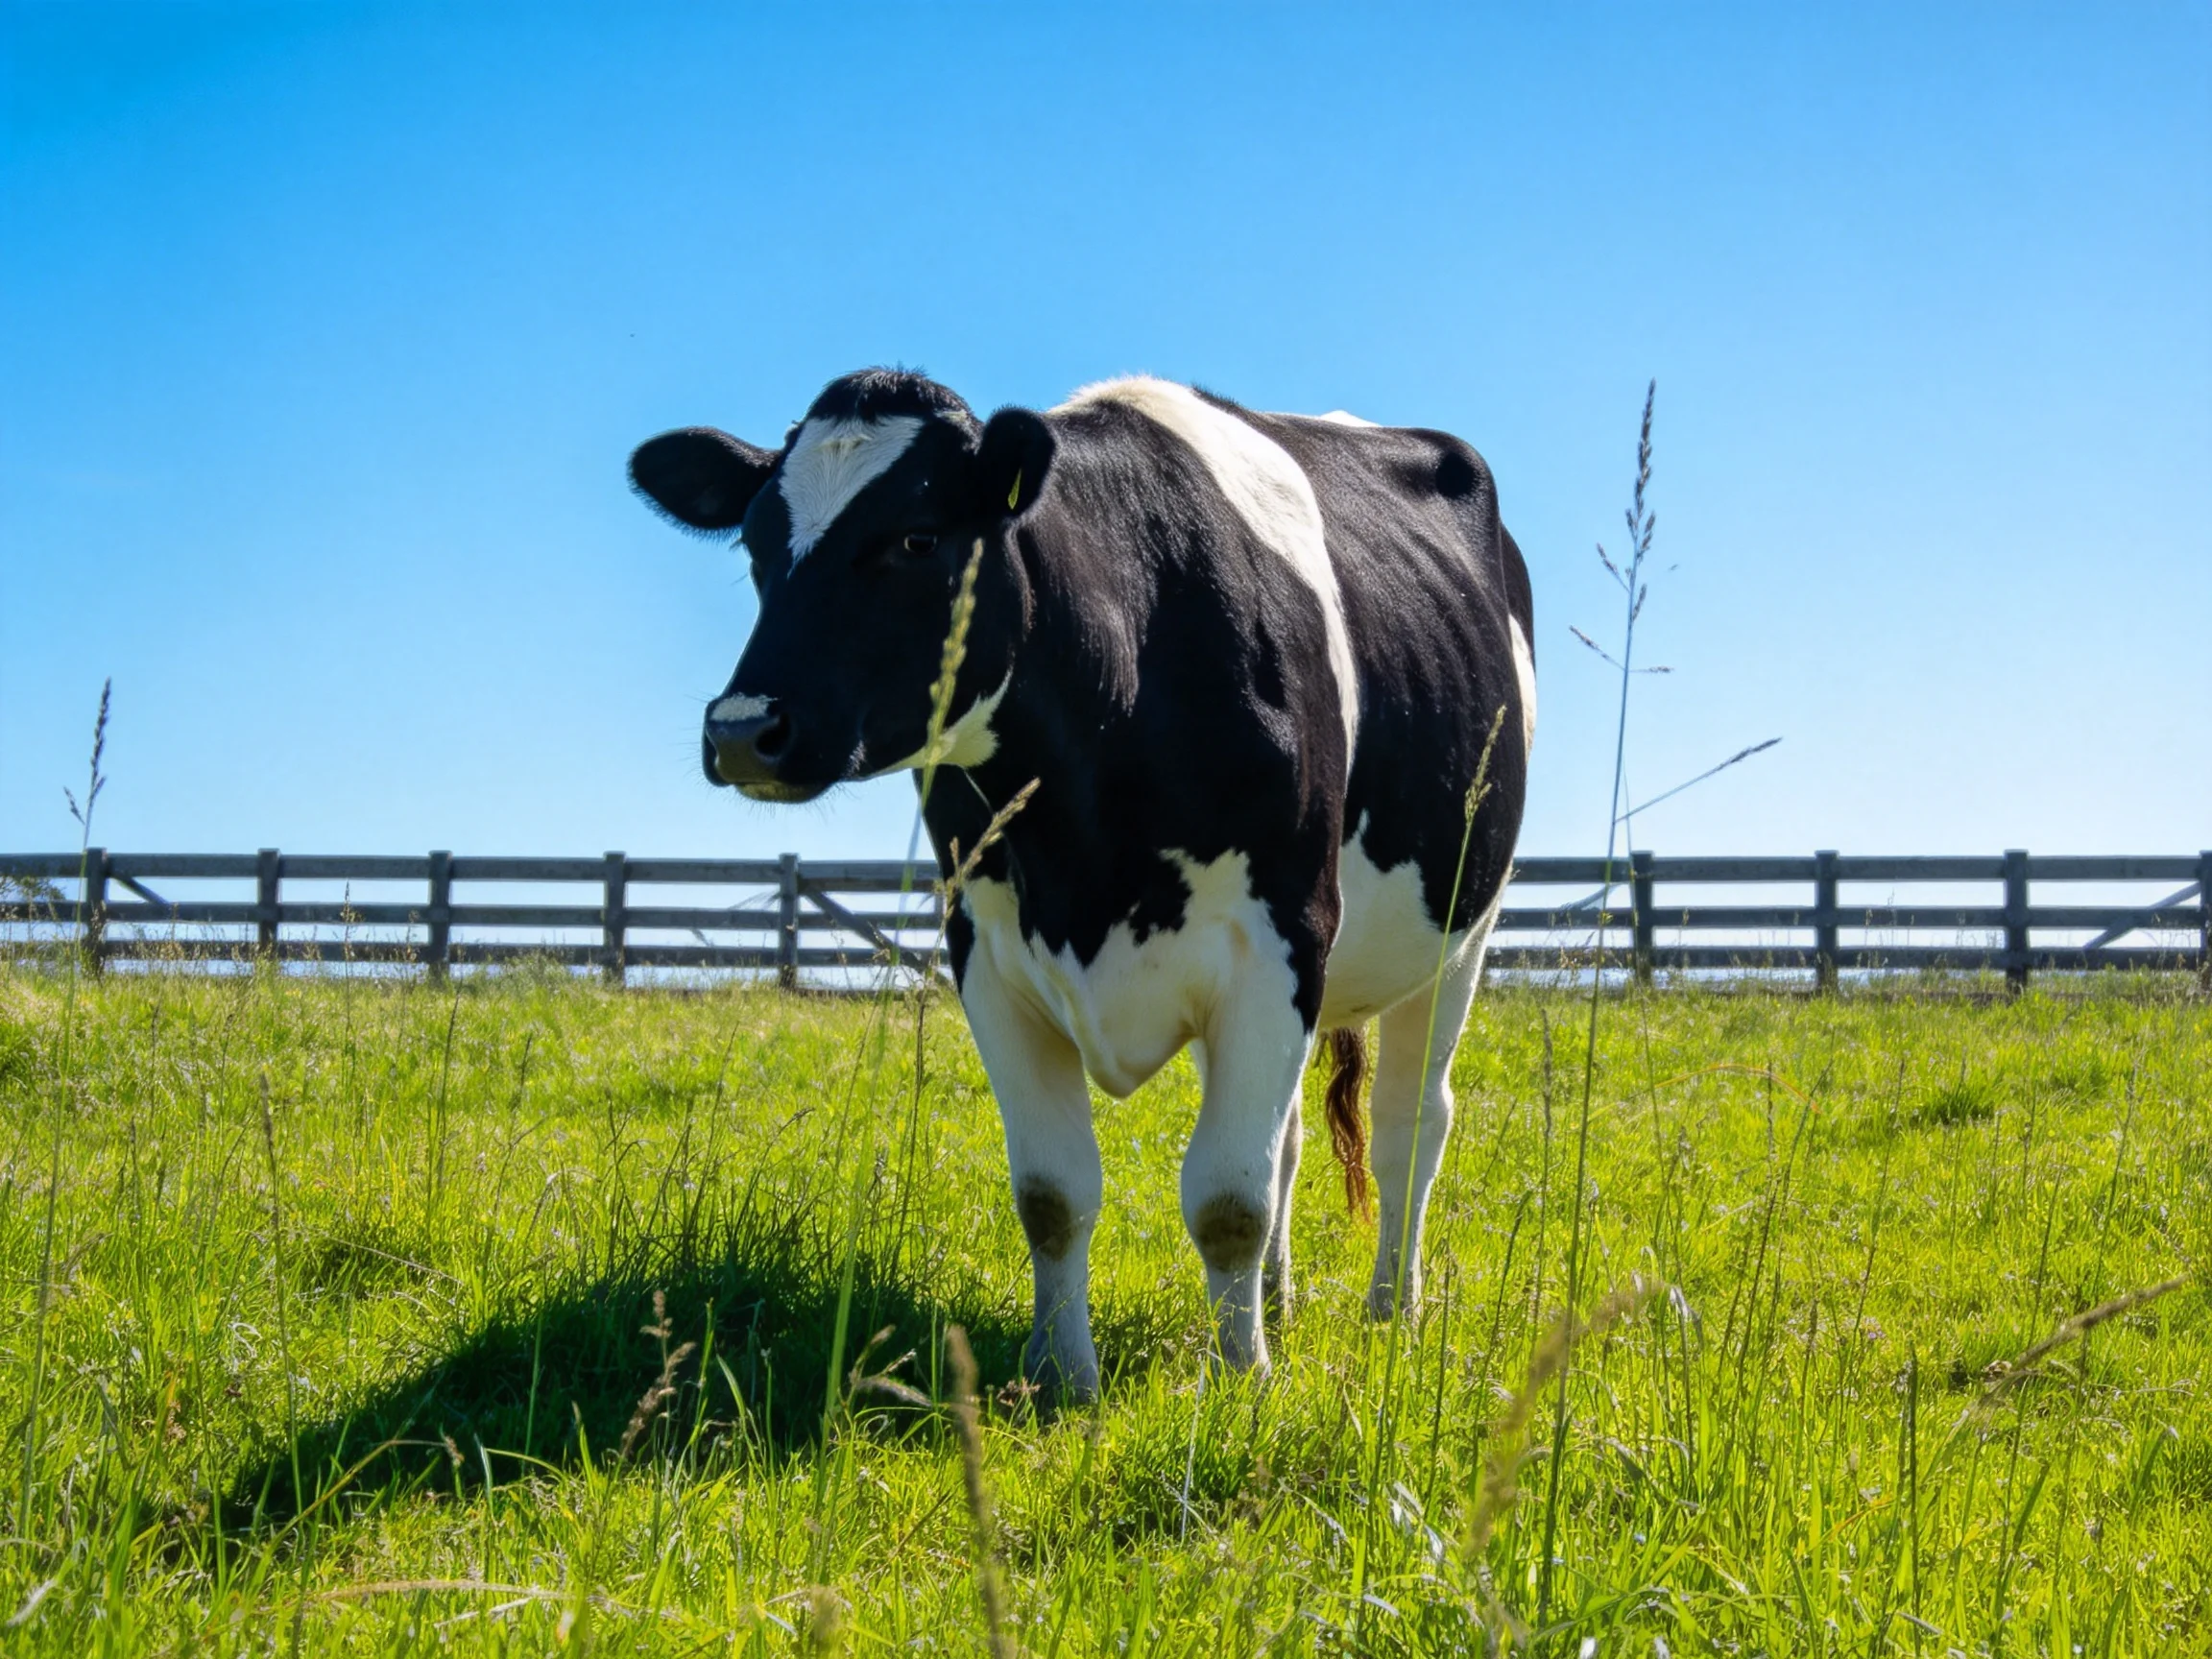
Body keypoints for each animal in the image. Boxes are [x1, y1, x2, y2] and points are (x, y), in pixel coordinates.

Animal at [630, 369, 1533, 1400]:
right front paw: (1061, 1378)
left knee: (1408, 1124)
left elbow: (1228, 1198)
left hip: (1463, 931)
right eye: (755, 545)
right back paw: (1279, 1302)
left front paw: (1241, 1382)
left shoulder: (1280, 944)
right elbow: (1053, 1194)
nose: (743, 730)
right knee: (1296, 1136)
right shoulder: (986, 954)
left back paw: (1392, 1309)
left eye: (918, 537)